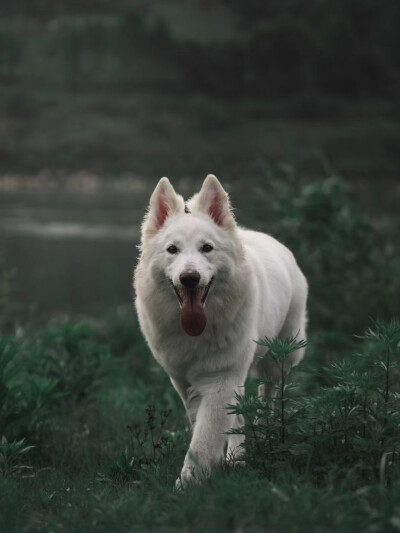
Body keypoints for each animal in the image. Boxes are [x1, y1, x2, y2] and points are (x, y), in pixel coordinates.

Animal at [134, 175, 306, 486]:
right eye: (172, 250)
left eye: (207, 248)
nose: (190, 278)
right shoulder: (185, 381)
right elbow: (205, 425)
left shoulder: (221, 378)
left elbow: (206, 434)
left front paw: (189, 483)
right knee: (240, 415)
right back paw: (237, 458)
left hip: (278, 359)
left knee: (269, 395)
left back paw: (265, 436)